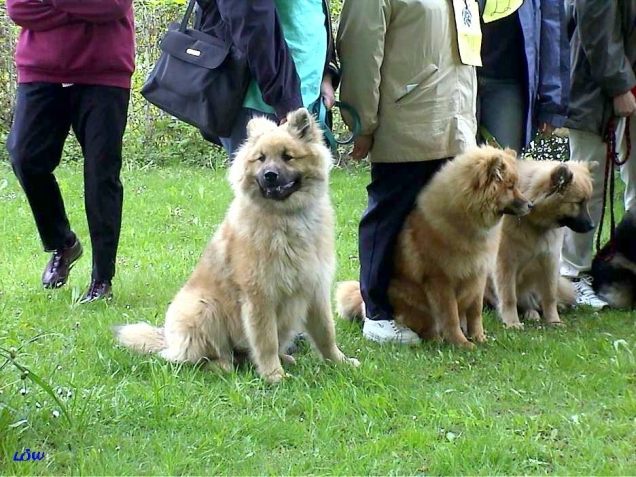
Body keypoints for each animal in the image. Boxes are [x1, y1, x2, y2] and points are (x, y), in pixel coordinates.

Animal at [114, 109, 358, 384]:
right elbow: (266, 341)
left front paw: (340, 363)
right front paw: (274, 376)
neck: (285, 218)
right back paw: (221, 365)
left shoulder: (315, 288)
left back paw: (282, 358)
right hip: (202, 307)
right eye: (261, 159)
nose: (270, 175)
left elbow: (326, 334)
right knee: (199, 358)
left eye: (287, 156)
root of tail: (168, 341)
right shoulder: (260, 295)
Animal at [338, 145, 532, 346]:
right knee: (426, 326)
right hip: (410, 297)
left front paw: (479, 338)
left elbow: (475, 312)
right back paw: (434, 339)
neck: (465, 217)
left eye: (516, 186)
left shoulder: (477, 275)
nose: (531, 205)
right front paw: (462, 343)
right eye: (510, 187)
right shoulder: (440, 280)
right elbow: (450, 316)